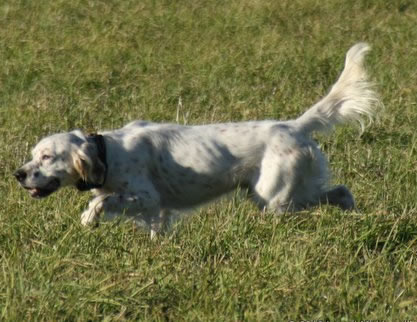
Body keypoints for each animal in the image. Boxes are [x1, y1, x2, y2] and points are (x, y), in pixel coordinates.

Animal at [13, 42, 376, 238]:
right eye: (34, 154)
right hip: (286, 194)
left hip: (275, 199)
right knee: (341, 192)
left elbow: (99, 202)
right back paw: (356, 214)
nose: (18, 174)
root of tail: (293, 126)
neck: (108, 154)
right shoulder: (157, 210)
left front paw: (89, 218)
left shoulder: (146, 196)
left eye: (47, 157)